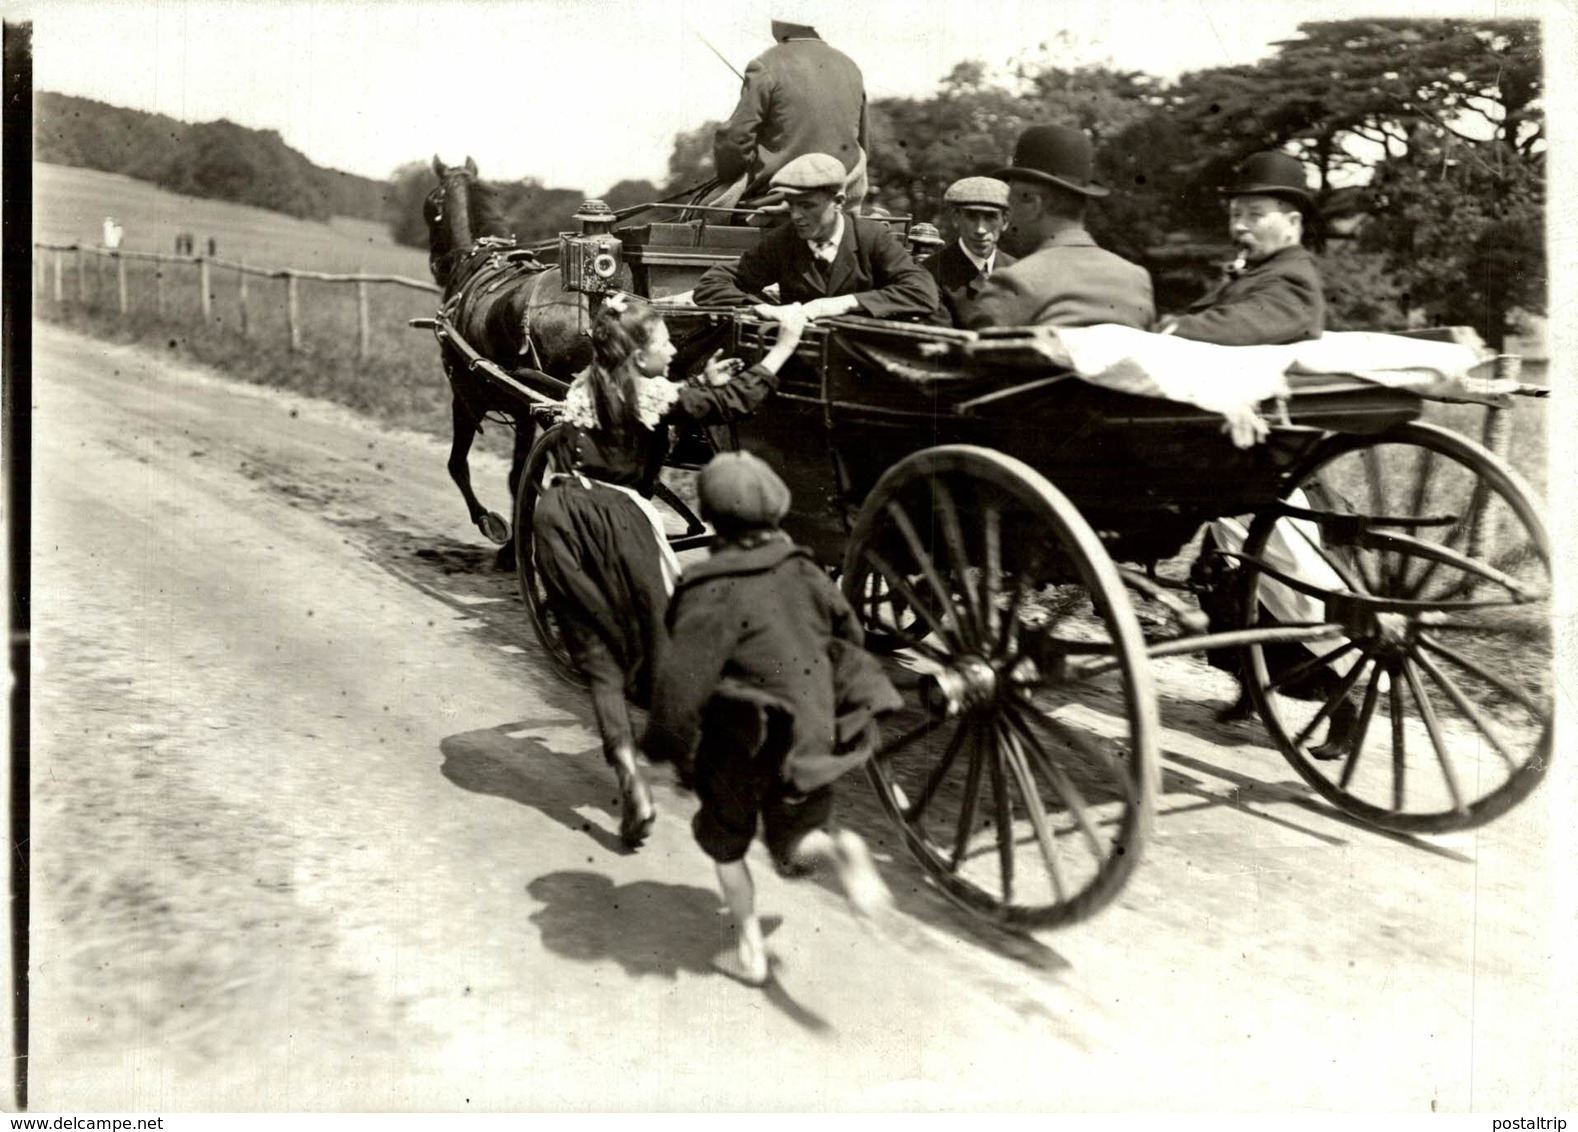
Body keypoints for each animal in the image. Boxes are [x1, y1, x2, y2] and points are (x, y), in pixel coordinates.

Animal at [422, 157, 593, 562]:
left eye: (430, 206)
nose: (436, 264)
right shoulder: (525, 412)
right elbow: (519, 476)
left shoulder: (465, 397)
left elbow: (459, 465)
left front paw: (495, 528)